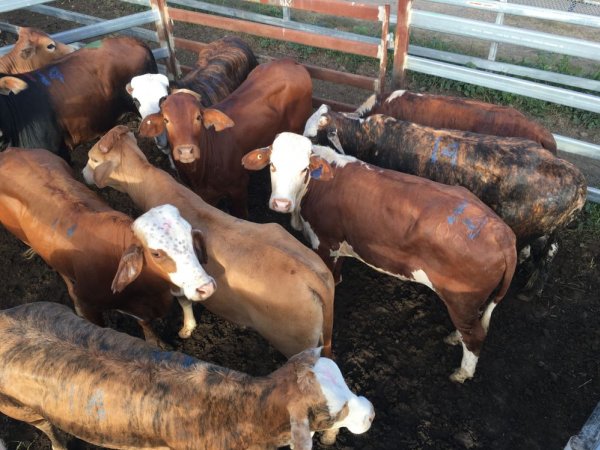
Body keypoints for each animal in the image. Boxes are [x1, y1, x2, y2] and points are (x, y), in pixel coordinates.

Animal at [83, 126, 338, 358]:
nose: (84, 174)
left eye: (93, 159)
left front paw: (187, 328)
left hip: (294, 344)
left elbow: (184, 302)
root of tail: (315, 277)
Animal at [139, 57, 312, 219]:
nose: (186, 151)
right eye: (166, 120)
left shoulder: (239, 187)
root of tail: (292, 63)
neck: (199, 174)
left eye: (198, 117)